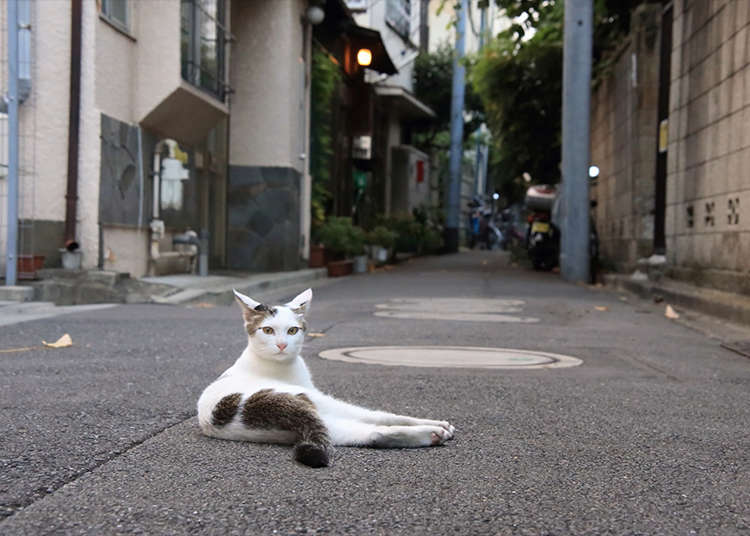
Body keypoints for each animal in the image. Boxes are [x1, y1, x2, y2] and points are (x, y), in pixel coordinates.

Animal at [200, 286, 456, 466]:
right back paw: (434, 431)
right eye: (268, 330)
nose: (282, 345)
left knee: (371, 432)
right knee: (378, 418)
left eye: (292, 330)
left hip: (317, 425)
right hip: (318, 401)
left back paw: (431, 432)